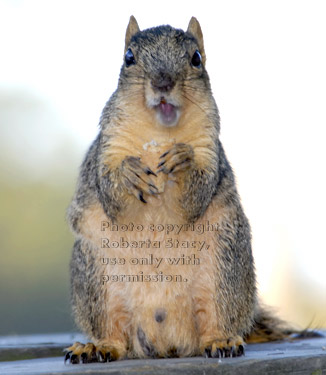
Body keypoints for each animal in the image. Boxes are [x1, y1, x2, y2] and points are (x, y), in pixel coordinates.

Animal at [65, 16, 294, 364]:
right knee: (114, 333)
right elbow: (111, 193)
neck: (159, 133)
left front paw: (182, 159)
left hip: (224, 272)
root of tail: (165, 341)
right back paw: (98, 346)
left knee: (216, 319)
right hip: (96, 281)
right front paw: (130, 173)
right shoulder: (107, 149)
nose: (162, 83)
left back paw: (221, 340)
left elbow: (194, 197)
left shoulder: (209, 149)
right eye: (129, 57)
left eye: (196, 58)